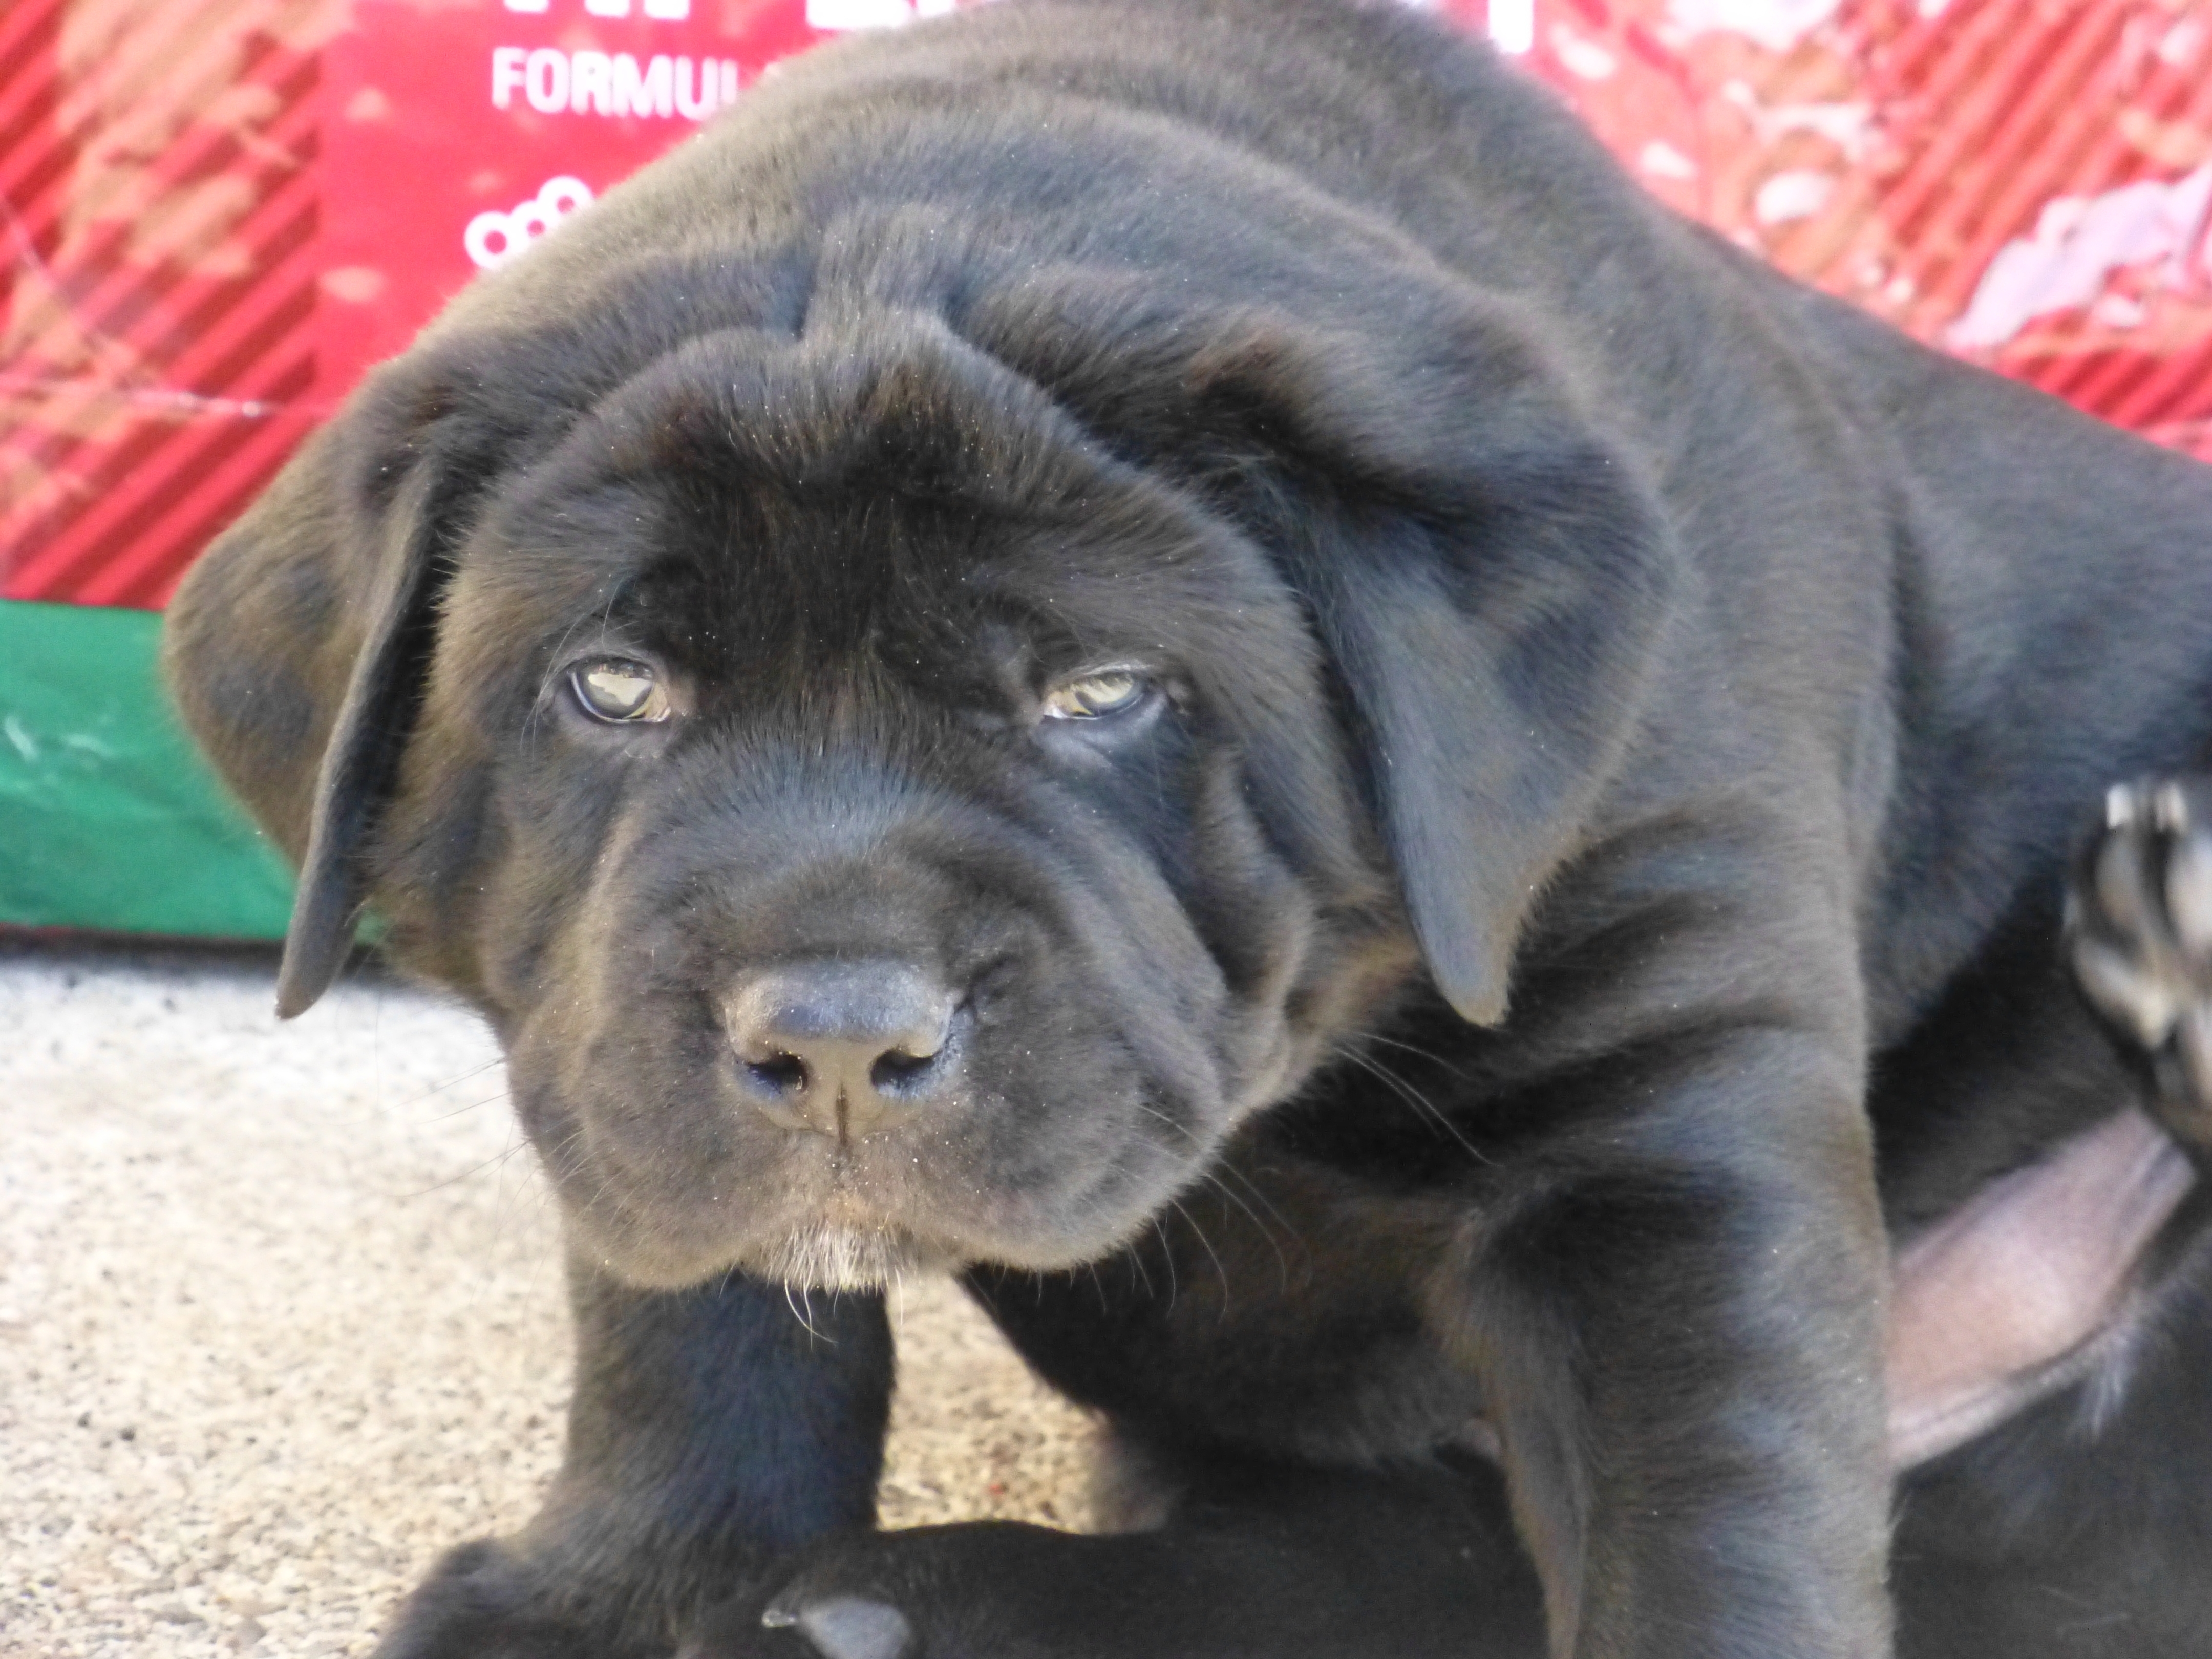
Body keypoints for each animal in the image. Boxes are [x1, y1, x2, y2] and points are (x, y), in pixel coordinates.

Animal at [163, 3, 2212, 1659]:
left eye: (1101, 692)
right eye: (611, 685)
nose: (835, 1032)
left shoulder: (1659, 1100)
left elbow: (1708, 1499)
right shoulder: (610, 1061)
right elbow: (699, 1333)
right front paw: (622, 1596)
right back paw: (899, 1610)